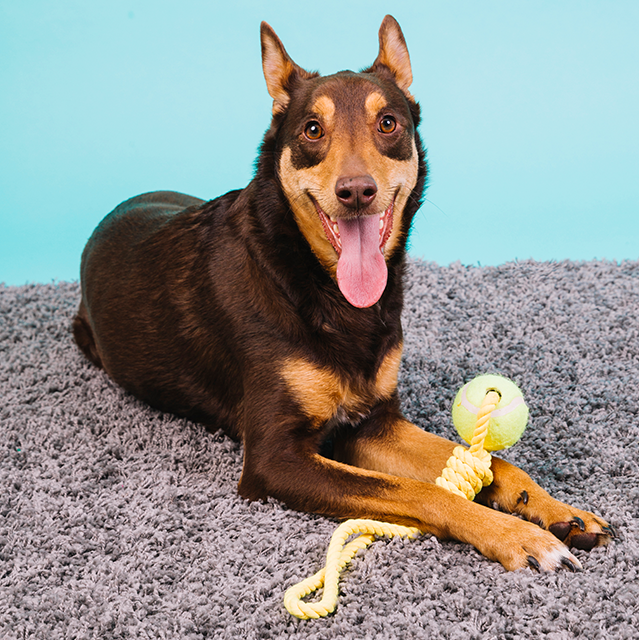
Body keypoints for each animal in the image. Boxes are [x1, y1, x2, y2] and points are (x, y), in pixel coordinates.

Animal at [72, 17, 612, 572]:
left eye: (388, 123)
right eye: (313, 129)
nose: (356, 191)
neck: (319, 286)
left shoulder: (373, 424)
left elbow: (496, 464)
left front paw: (557, 511)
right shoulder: (274, 458)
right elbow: (419, 491)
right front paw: (516, 535)